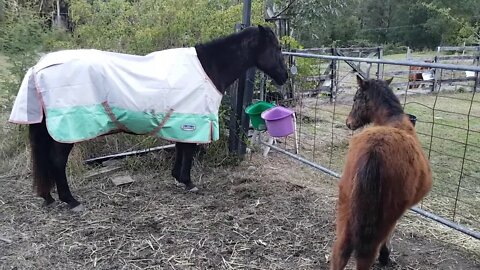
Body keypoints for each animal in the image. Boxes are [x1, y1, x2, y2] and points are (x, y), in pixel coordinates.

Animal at [28, 25, 286, 211]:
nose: (284, 77)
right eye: (276, 49)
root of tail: (38, 68)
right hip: (66, 132)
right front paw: (188, 182)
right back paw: (70, 200)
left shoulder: (183, 120)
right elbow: (188, 150)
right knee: (57, 162)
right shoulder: (193, 120)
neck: (207, 68)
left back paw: (49, 197)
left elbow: (181, 148)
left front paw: (178, 178)